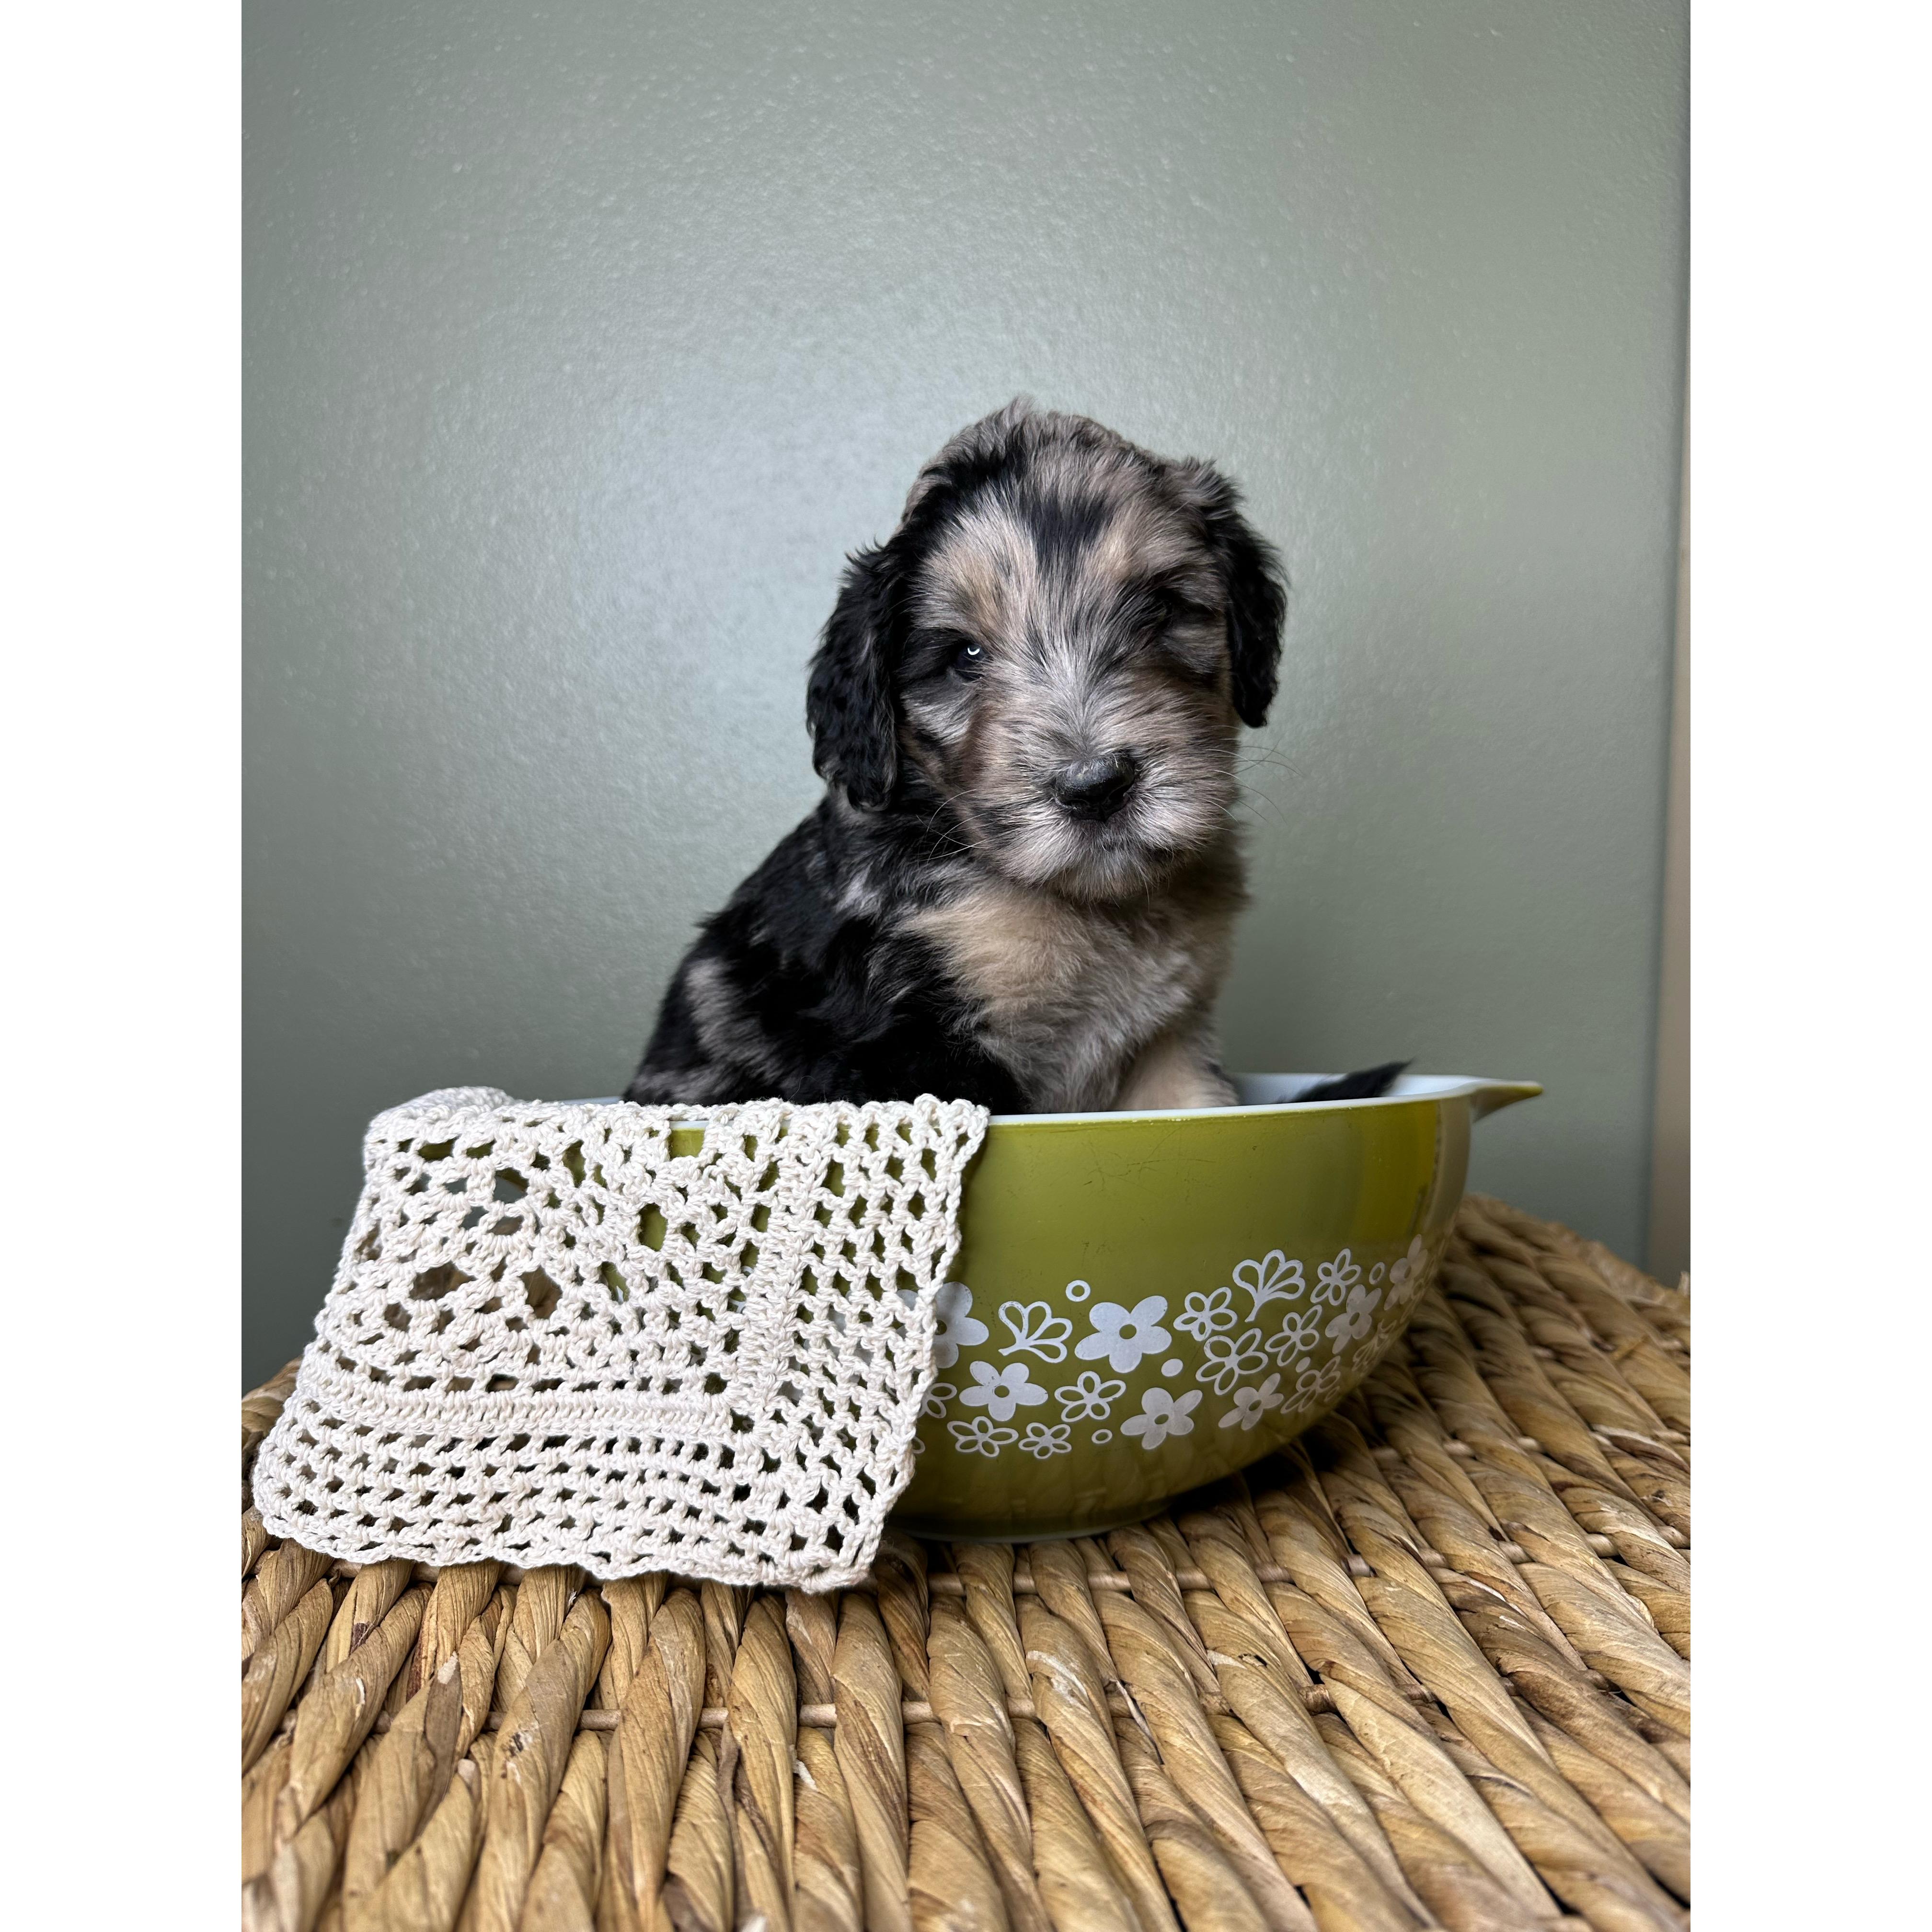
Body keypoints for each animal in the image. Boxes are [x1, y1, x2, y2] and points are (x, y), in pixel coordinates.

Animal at [626, 400, 1394, 1114]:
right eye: (965, 655)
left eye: (1159, 612)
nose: (1096, 787)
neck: (1093, 907)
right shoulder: (916, 1054)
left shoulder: (1170, 1045)